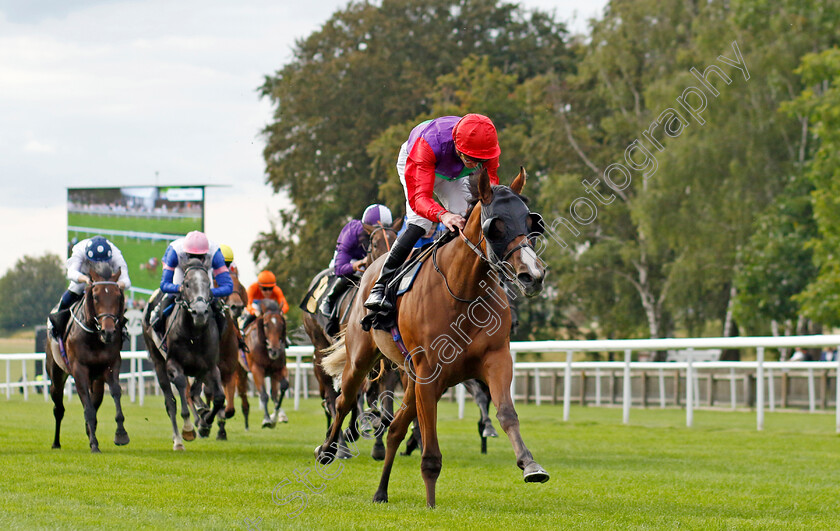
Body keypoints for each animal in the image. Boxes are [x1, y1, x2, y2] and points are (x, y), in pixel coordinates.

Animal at [46, 264, 128, 454]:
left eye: (118, 296)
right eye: (95, 296)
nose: (108, 332)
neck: (94, 337)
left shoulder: (111, 364)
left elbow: (115, 392)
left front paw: (120, 433)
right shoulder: (79, 369)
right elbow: (88, 408)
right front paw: (94, 444)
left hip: (96, 381)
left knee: (95, 400)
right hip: (56, 373)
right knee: (58, 407)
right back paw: (56, 442)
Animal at [142, 260, 226, 450]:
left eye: (208, 284)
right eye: (187, 284)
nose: (200, 312)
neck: (194, 334)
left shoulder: (210, 366)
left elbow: (219, 397)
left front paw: (205, 423)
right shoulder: (173, 364)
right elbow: (181, 387)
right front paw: (188, 429)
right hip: (158, 362)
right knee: (170, 403)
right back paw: (178, 440)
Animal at [244, 302, 290, 430]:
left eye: (282, 324)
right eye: (265, 325)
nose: (274, 350)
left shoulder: (277, 369)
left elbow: (283, 386)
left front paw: (275, 417)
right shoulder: (256, 369)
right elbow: (264, 395)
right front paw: (267, 419)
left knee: (274, 393)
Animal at [318, 167, 548, 508]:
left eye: (530, 223)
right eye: (496, 226)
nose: (533, 275)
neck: (463, 291)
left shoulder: (495, 360)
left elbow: (506, 413)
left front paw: (530, 465)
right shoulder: (429, 372)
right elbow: (429, 446)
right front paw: (430, 503)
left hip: (411, 377)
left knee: (395, 428)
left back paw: (380, 492)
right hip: (362, 357)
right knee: (344, 399)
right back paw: (328, 450)